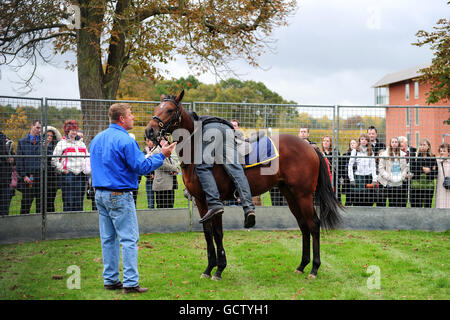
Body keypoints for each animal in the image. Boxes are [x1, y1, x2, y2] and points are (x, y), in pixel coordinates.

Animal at [146, 90, 342, 280]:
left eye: (170, 110)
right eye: (156, 108)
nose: (149, 131)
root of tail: (311, 147)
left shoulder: (215, 204)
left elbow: (218, 233)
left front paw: (219, 269)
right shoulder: (202, 202)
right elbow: (208, 233)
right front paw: (209, 268)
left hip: (304, 195)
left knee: (313, 224)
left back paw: (314, 268)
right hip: (290, 195)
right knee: (303, 225)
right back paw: (302, 265)